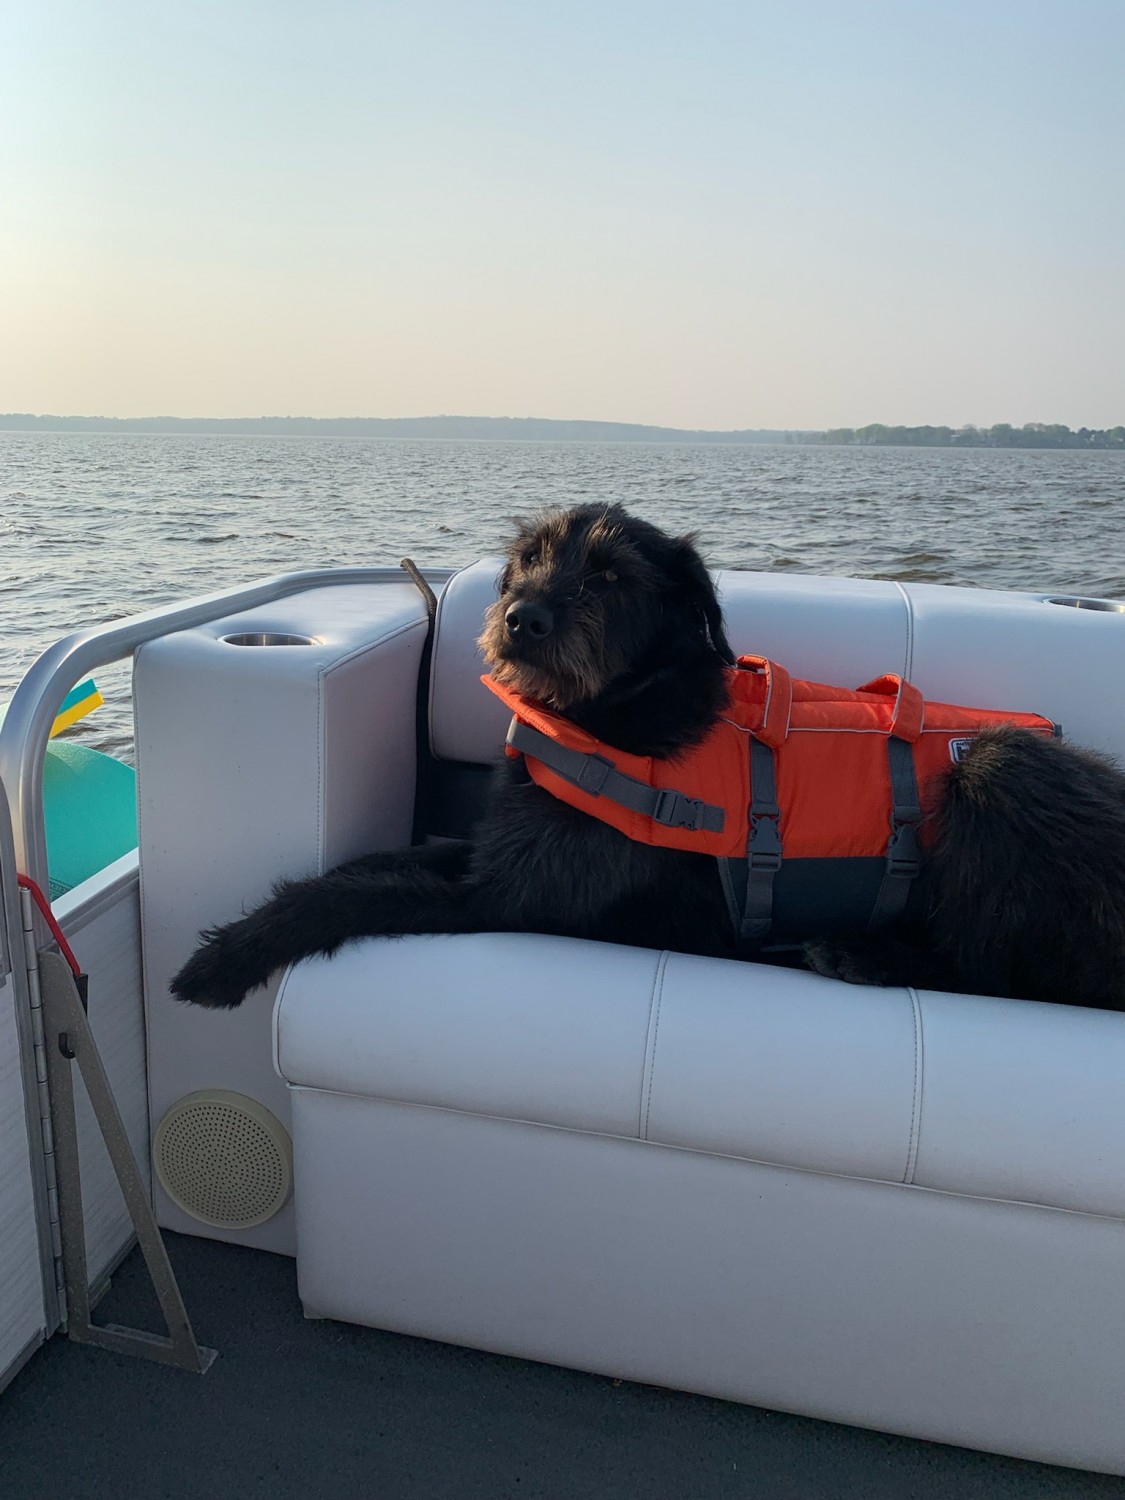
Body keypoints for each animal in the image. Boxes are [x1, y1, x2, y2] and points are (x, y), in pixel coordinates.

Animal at [167, 501, 1125, 1008]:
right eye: (528, 558)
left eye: (611, 576)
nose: (521, 619)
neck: (613, 711)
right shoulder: (487, 854)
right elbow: (361, 867)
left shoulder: (507, 899)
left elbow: (354, 895)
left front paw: (224, 958)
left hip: (996, 769)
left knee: (1006, 971)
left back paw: (869, 956)